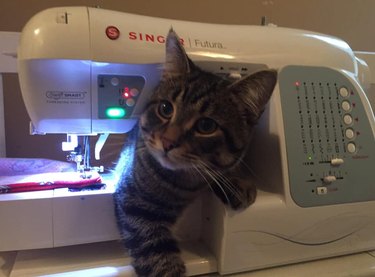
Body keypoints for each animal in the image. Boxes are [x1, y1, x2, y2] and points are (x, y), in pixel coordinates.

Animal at [113, 29, 278, 274]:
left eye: (206, 126)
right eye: (165, 108)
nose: (167, 142)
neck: (184, 182)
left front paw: (237, 181)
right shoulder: (135, 204)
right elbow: (159, 259)